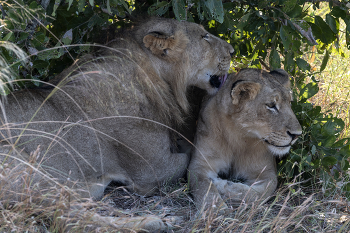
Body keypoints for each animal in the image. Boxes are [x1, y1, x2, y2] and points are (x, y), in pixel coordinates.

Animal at [187, 68, 302, 209]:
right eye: (271, 105)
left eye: (290, 102)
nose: (297, 134)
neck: (239, 137)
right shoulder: (199, 165)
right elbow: (205, 189)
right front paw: (217, 209)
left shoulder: (267, 172)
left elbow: (259, 193)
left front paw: (224, 186)